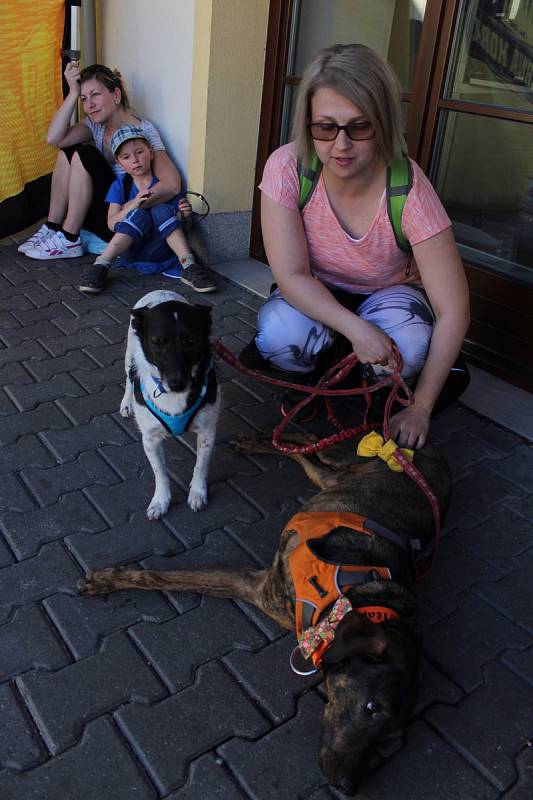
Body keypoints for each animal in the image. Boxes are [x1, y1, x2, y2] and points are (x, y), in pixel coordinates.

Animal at [78, 432, 448, 792]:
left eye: (392, 739)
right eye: (371, 707)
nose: (348, 786)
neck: (358, 596)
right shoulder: (259, 586)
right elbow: (163, 577)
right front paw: (108, 580)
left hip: (336, 480)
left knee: (309, 458)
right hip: (345, 461)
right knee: (311, 441)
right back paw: (262, 439)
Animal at [120, 290, 218, 516]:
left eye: (191, 340)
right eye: (157, 341)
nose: (176, 383)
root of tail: (160, 291)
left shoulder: (207, 432)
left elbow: (201, 466)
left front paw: (197, 493)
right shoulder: (150, 439)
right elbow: (161, 473)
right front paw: (161, 500)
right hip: (130, 355)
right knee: (129, 377)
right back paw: (126, 403)